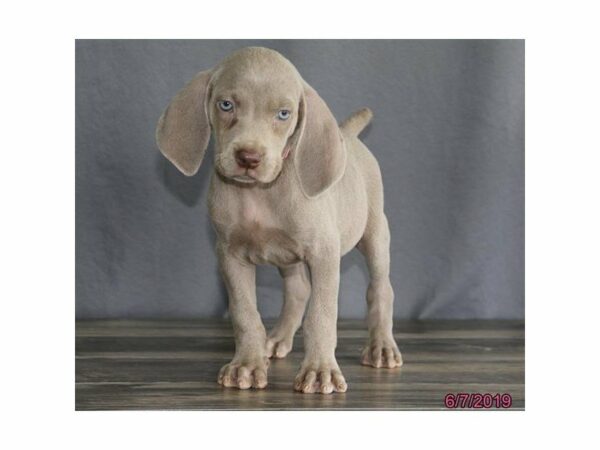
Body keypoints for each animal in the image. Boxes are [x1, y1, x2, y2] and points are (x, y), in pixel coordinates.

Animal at [156, 45, 404, 394]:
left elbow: (322, 315)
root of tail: (348, 136)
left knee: (381, 288)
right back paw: (276, 339)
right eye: (226, 104)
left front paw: (320, 371)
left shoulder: (324, 252)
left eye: (283, 114)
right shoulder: (229, 254)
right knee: (298, 289)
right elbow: (245, 313)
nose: (249, 158)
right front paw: (247, 364)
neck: (259, 194)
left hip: (375, 235)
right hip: (288, 256)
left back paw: (382, 346)